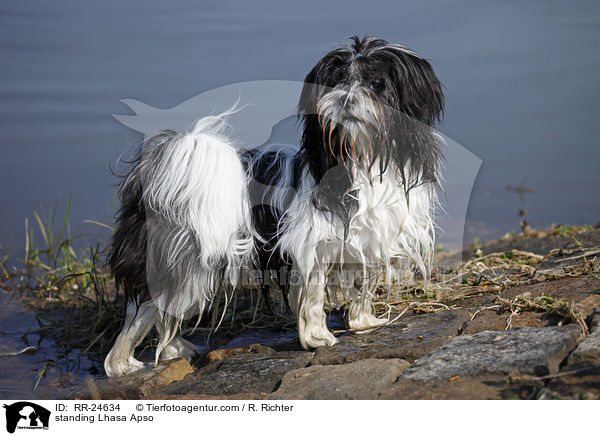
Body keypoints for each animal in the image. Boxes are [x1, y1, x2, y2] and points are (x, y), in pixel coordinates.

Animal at [103, 36, 442, 378]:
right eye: (336, 83)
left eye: (376, 84)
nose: (345, 100)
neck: (363, 157)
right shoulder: (310, 246)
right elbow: (313, 296)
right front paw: (317, 337)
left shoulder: (371, 240)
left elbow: (364, 286)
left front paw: (363, 322)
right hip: (182, 262)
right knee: (143, 311)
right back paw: (121, 365)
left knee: (163, 313)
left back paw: (174, 349)